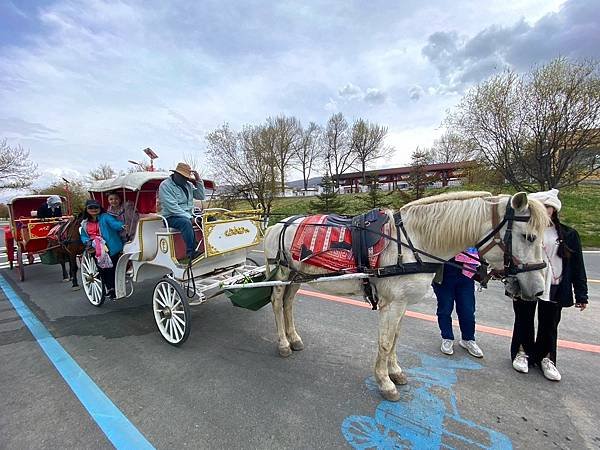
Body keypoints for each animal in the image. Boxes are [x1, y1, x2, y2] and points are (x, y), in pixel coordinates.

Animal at [262, 190, 548, 400]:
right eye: (529, 237)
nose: (538, 289)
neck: (413, 242)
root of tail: (278, 224)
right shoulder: (392, 303)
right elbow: (386, 342)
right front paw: (384, 382)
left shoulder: (402, 304)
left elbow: (395, 339)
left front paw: (395, 372)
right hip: (282, 274)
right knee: (277, 303)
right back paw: (283, 343)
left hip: (296, 276)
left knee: (289, 304)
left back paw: (294, 338)